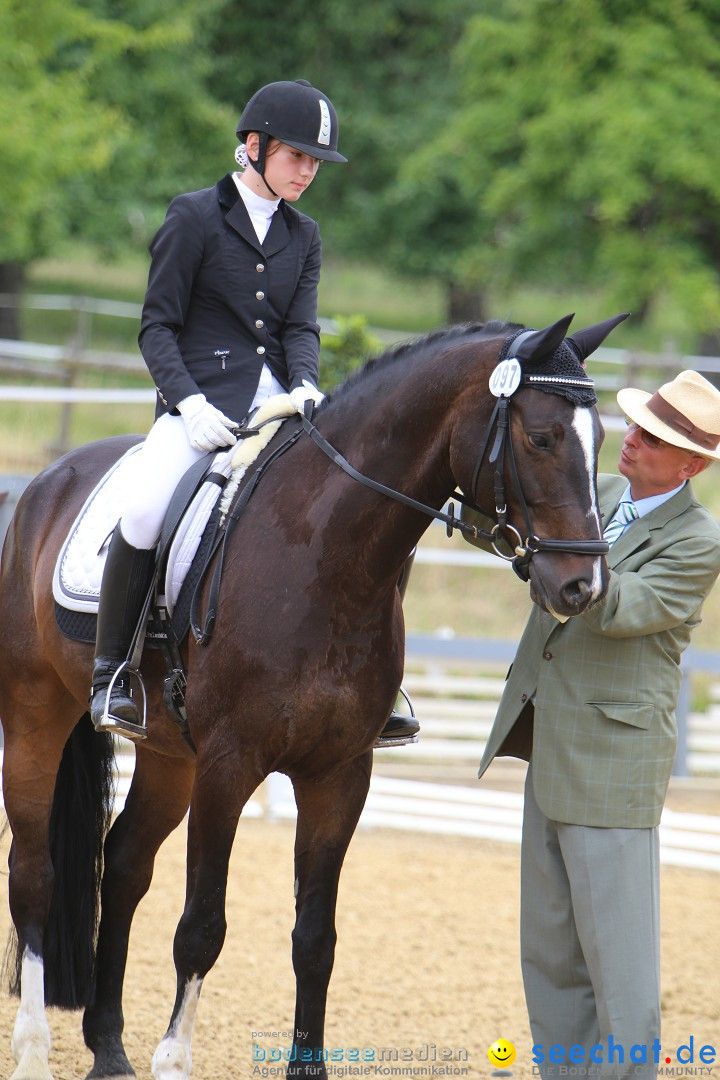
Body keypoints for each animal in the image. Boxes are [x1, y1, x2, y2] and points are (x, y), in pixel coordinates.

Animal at [0, 308, 626, 1075]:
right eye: (541, 438)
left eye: (601, 442)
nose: (582, 587)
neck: (325, 555)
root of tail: (49, 479)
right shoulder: (229, 766)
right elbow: (201, 927)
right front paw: (174, 1058)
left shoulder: (339, 774)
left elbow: (315, 937)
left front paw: (308, 1064)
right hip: (37, 713)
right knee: (35, 871)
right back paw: (33, 1047)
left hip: (170, 755)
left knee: (122, 866)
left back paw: (109, 1047)